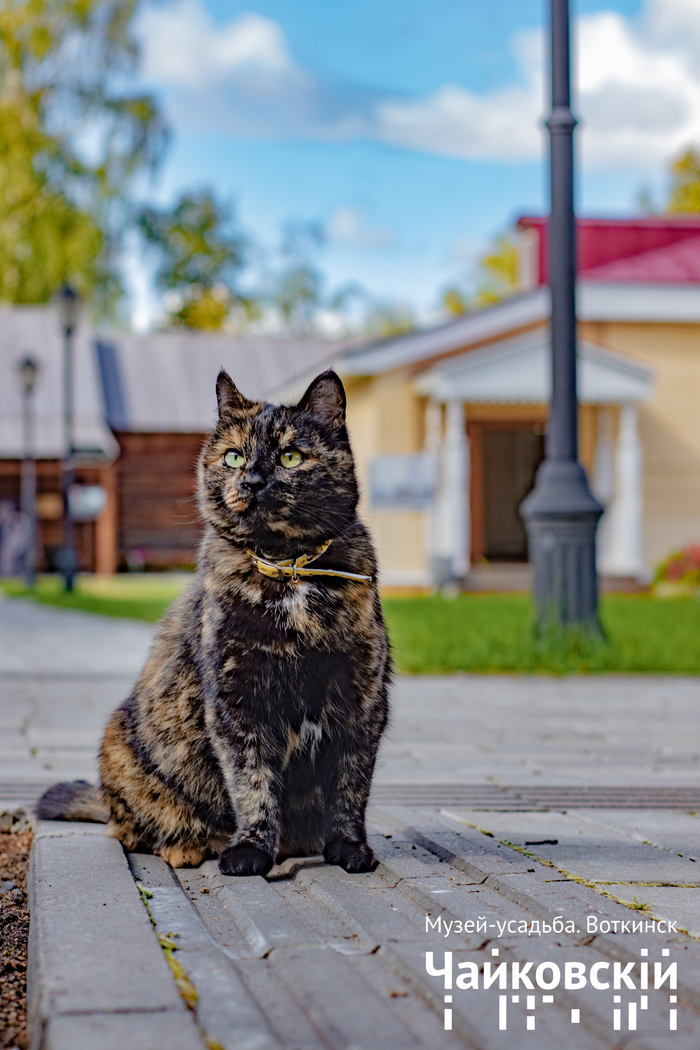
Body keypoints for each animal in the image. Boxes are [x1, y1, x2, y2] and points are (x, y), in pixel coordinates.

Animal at [38, 371, 392, 877]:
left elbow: (350, 785)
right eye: (234, 456)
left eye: (290, 456)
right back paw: (189, 846)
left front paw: (349, 848)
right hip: (119, 744)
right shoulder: (235, 700)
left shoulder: (360, 699)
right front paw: (251, 850)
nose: (253, 480)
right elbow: (252, 781)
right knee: (130, 828)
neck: (288, 574)